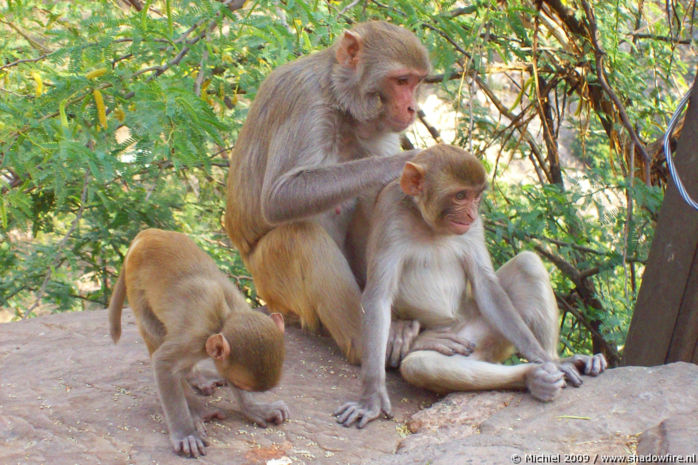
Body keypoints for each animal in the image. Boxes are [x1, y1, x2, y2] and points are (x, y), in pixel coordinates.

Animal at [107, 228, 286, 456]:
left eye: (239, 385)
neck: (224, 317)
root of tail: (147, 233)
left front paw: (254, 408)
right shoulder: (194, 338)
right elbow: (163, 363)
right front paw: (185, 432)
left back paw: (197, 378)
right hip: (136, 286)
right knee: (154, 335)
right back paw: (195, 410)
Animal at [224, 20, 446, 362]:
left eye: (416, 81)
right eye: (400, 80)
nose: (412, 108)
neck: (340, 100)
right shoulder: (306, 102)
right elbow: (278, 197)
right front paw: (402, 163)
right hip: (272, 284)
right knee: (301, 237)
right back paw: (367, 343)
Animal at [334, 145, 608, 428]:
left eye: (476, 197)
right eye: (460, 195)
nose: (471, 213)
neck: (428, 224)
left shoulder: (475, 227)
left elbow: (485, 284)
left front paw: (544, 357)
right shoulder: (390, 214)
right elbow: (378, 298)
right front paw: (372, 396)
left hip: (489, 333)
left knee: (527, 264)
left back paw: (553, 361)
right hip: (461, 342)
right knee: (421, 365)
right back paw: (533, 377)